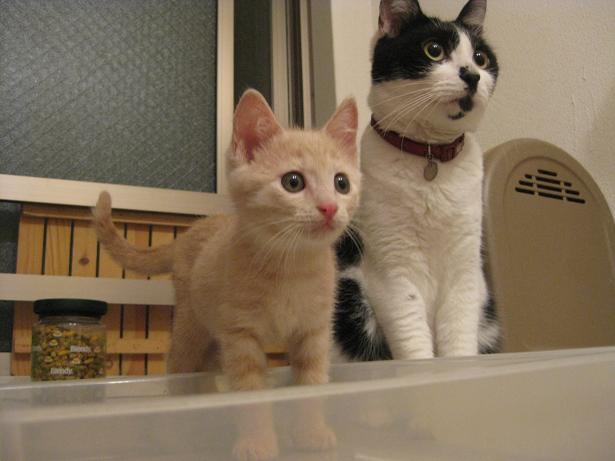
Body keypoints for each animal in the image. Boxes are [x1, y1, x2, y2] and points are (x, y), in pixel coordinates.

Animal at [93, 89, 361, 460]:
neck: (290, 266)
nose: (330, 207)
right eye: (293, 182)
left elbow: (311, 384)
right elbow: (250, 392)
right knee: (178, 367)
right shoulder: (240, 335)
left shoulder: (313, 332)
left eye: (341, 183)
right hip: (191, 325)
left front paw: (312, 435)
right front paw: (258, 444)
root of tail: (190, 232)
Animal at [334, 0, 500, 362]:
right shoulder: (392, 269)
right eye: (433, 50)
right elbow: (412, 336)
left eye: (481, 57)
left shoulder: (465, 267)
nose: (472, 74)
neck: (430, 155)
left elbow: (459, 334)